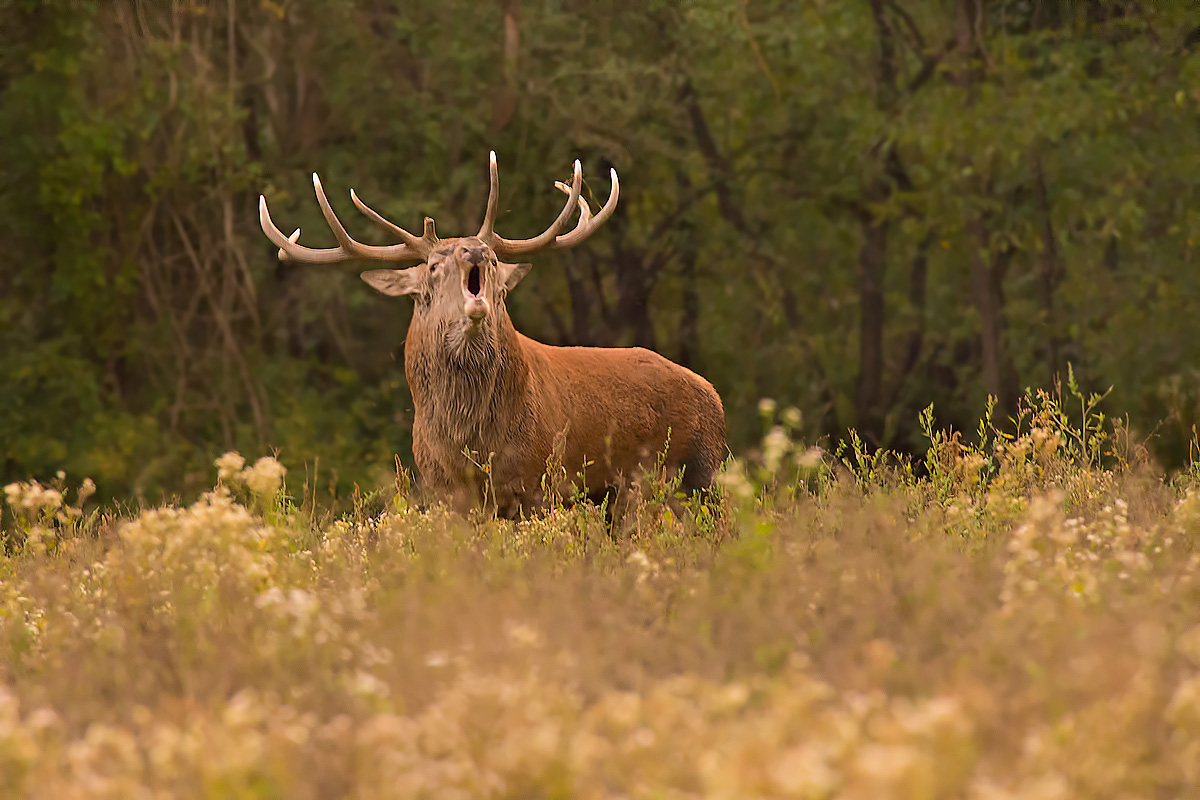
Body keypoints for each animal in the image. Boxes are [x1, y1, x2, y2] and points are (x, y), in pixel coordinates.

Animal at [258, 152, 726, 519]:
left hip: (698, 471)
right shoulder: (445, 490)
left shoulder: (540, 481)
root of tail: (713, 394)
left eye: (497, 260)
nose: (478, 250)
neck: (473, 440)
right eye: (433, 265)